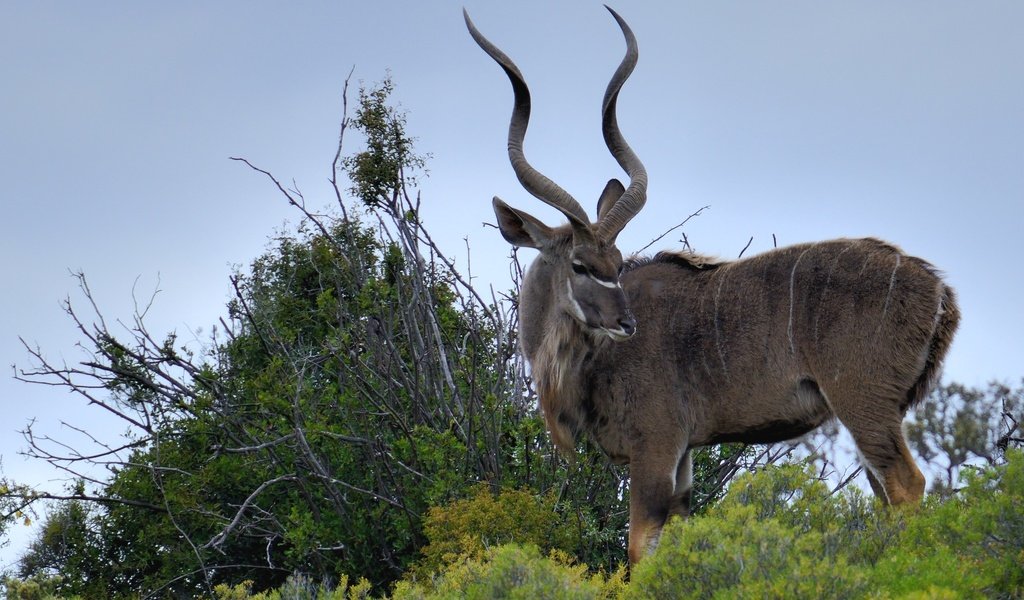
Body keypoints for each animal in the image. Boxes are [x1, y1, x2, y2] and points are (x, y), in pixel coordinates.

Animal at [464, 7, 958, 561]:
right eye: (581, 264)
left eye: (615, 261)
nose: (626, 323)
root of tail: (937, 290)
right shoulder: (683, 457)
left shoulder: (656, 446)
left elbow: (640, 548)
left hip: (862, 403)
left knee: (906, 485)